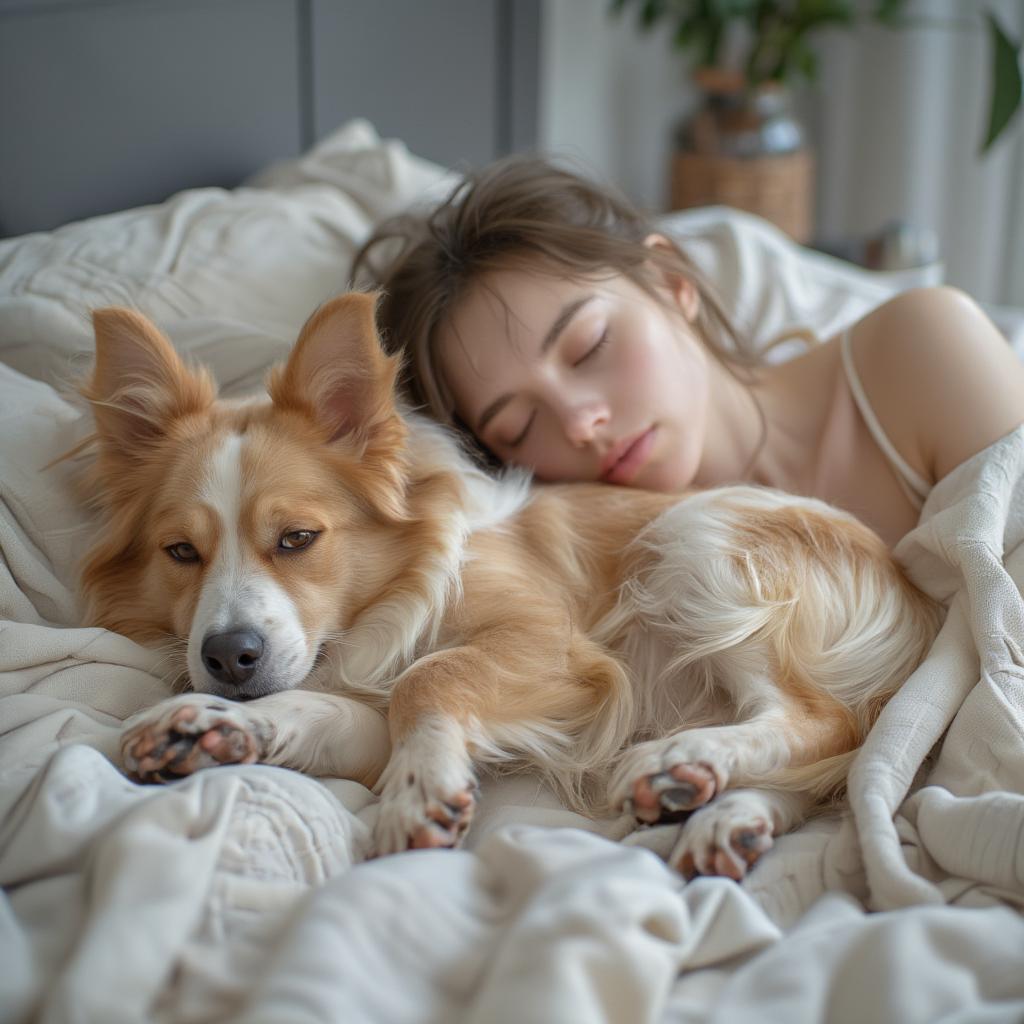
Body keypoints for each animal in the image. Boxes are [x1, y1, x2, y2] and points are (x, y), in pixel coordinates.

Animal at [79, 292, 937, 876]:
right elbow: (328, 709)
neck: (388, 604)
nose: (229, 657)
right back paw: (721, 811)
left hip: (693, 534)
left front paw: (418, 789)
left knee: (825, 722)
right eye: (180, 551)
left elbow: (427, 677)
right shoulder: (363, 719)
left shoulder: (553, 647)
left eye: (297, 539)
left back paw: (681, 760)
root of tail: (915, 593)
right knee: (827, 760)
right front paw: (215, 724)